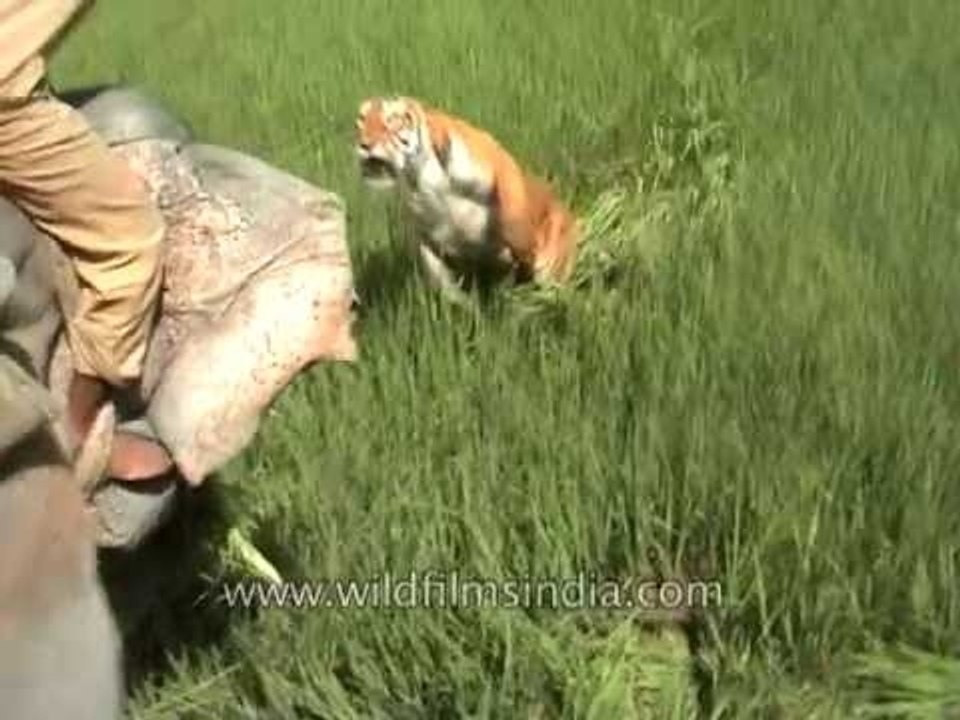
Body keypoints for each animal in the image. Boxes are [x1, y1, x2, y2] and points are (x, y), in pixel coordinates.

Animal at [354, 95, 579, 302]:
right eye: (361, 119)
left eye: (392, 120)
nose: (364, 145)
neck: (418, 173)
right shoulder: (423, 231)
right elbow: (437, 273)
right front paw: (463, 306)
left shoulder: (496, 158)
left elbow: (514, 223)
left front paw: (523, 252)